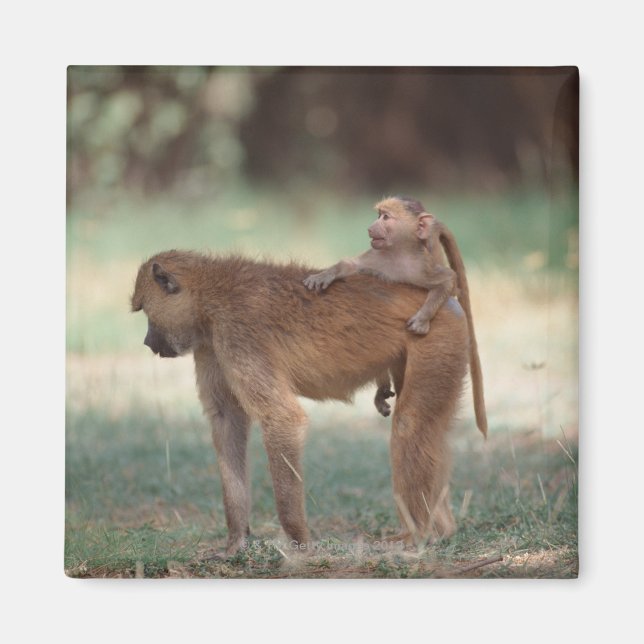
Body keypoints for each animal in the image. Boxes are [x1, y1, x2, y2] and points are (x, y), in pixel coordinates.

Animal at [131, 250, 475, 555]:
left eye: (144, 310)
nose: (147, 342)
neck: (210, 298)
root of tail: (443, 300)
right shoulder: (210, 345)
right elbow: (227, 419)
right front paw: (236, 541)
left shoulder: (238, 335)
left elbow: (281, 417)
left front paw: (298, 542)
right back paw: (442, 530)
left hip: (435, 337)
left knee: (410, 424)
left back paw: (416, 536)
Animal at [304, 196, 487, 437]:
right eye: (378, 215)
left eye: (385, 217)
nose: (370, 227)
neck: (398, 253)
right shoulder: (375, 258)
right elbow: (350, 265)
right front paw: (325, 275)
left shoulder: (421, 266)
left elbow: (448, 281)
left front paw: (422, 319)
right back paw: (382, 388)